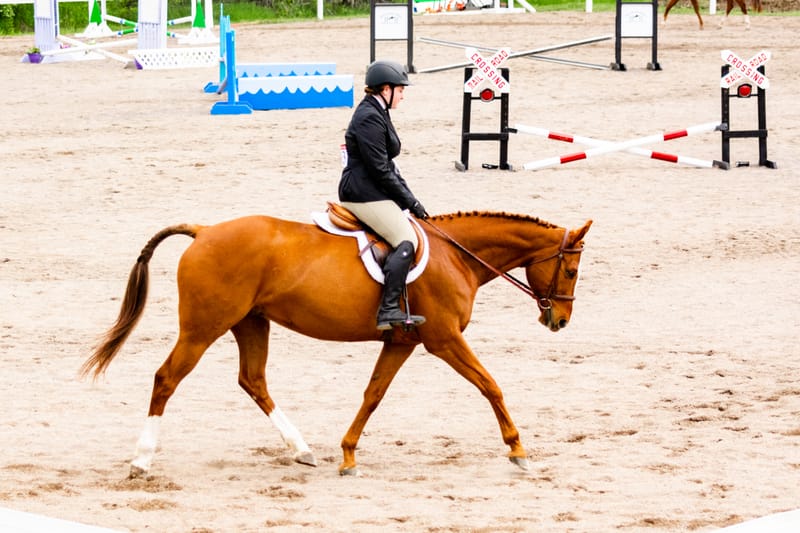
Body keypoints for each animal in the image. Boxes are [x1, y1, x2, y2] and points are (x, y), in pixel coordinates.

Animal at [83, 210, 588, 476]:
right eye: (571, 269)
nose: (561, 320)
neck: (455, 256)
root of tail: (204, 231)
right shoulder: (444, 339)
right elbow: (490, 385)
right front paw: (518, 449)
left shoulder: (403, 342)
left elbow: (373, 395)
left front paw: (347, 454)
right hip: (202, 329)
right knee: (166, 378)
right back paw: (142, 460)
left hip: (251, 323)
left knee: (253, 381)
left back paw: (301, 449)